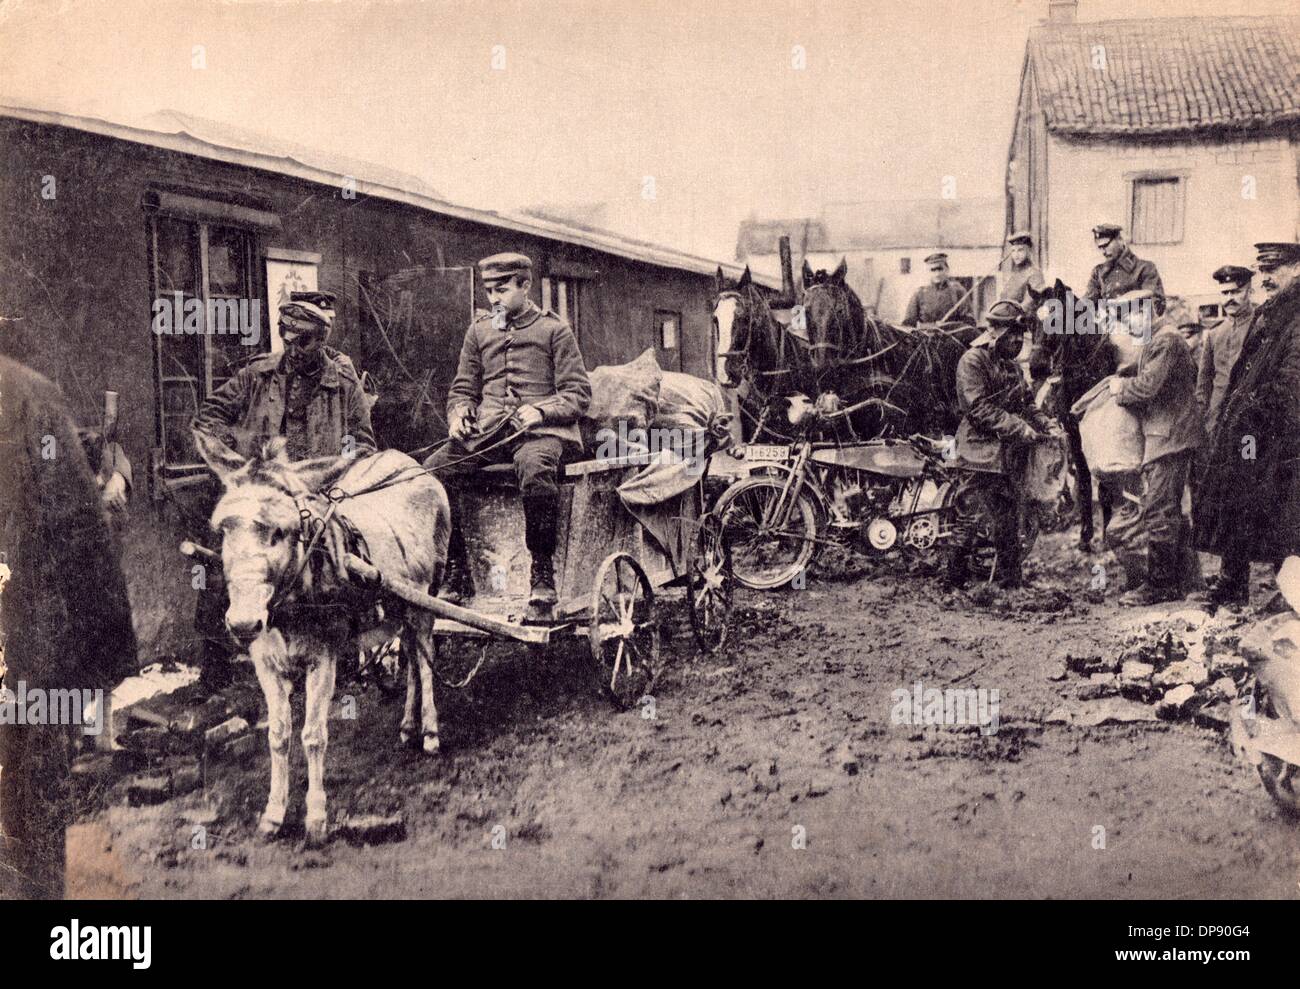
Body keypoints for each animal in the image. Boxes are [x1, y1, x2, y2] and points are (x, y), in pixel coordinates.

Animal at [193, 431, 452, 842]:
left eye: (279, 532)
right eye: (223, 529)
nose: (243, 623)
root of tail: (410, 463)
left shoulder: (323, 660)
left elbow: (313, 735)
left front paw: (316, 817)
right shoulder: (266, 663)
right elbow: (278, 736)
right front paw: (273, 814)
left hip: (427, 596)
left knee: (426, 660)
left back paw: (429, 732)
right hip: (402, 604)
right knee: (413, 654)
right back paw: (408, 726)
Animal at [1024, 278, 1118, 548]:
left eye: (1056, 319)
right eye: (1029, 321)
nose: (1036, 367)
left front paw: (1106, 534)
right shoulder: (1073, 433)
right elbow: (1085, 480)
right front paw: (1086, 534)